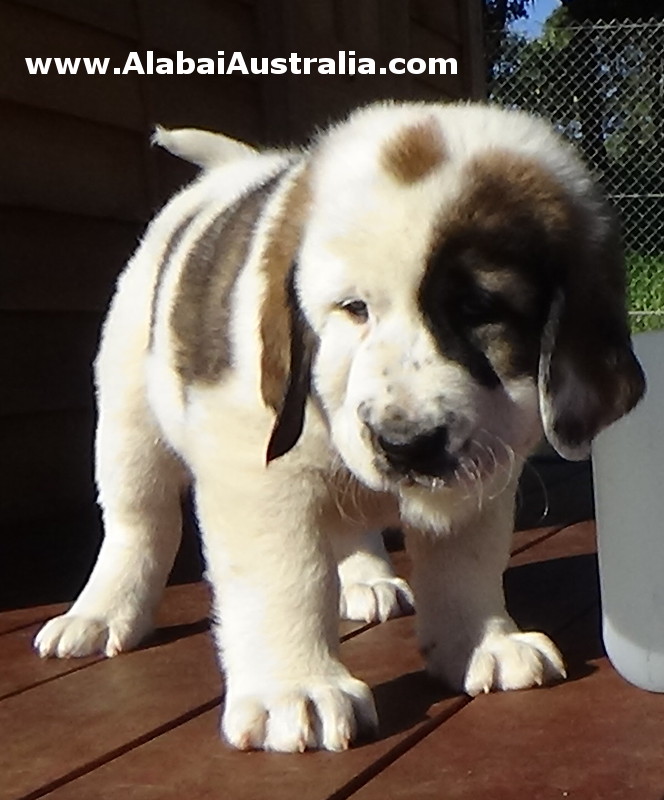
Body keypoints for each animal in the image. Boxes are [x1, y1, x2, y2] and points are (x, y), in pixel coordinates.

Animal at [33, 100, 644, 752]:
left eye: (480, 310)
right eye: (354, 309)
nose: (406, 445)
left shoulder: (488, 456)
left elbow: (465, 557)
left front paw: (481, 641)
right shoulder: (254, 468)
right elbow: (284, 574)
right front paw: (294, 688)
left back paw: (364, 578)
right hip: (128, 415)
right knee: (138, 521)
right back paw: (100, 612)